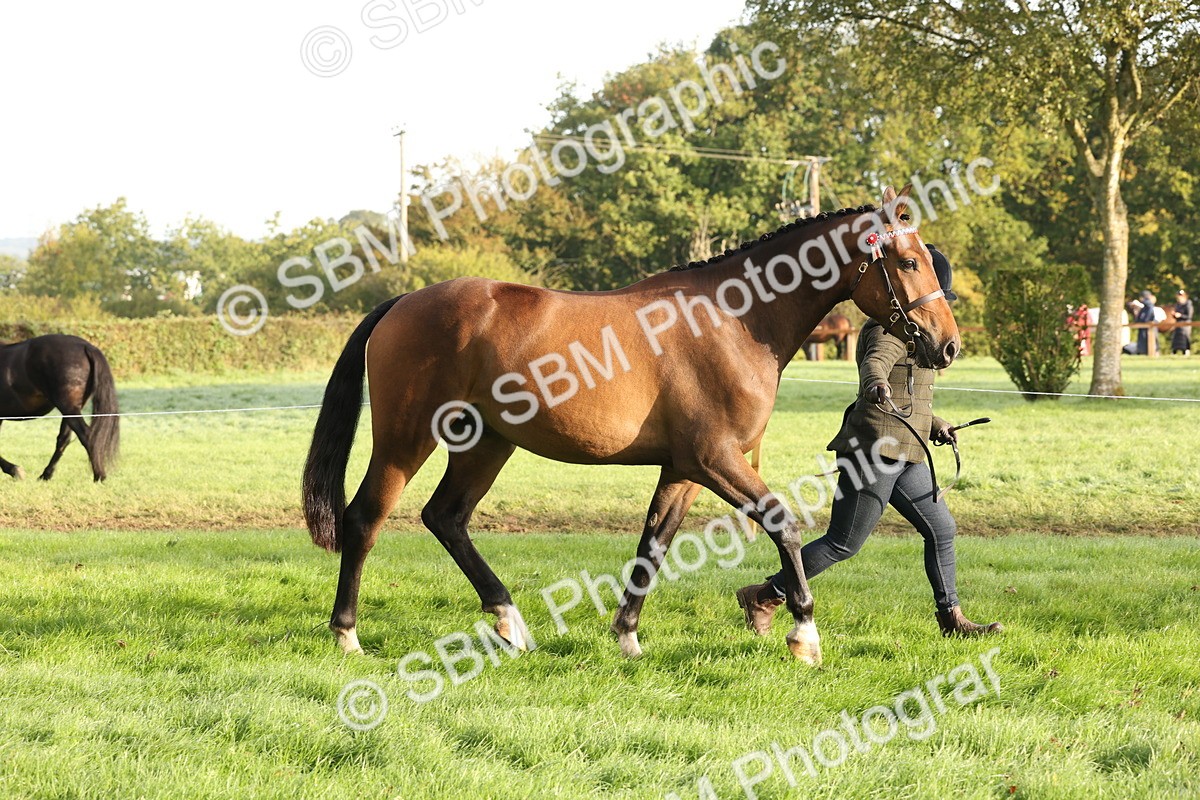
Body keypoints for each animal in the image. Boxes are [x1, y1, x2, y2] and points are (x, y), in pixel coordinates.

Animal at [0, 334, 120, 482]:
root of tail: (86, 346)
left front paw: (15, 470)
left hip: (68, 407)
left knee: (86, 435)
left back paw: (99, 476)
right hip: (70, 410)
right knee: (64, 439)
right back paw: (46, 475)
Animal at [302, 186, 960, 665]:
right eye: (908, 261)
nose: (947, 346)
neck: (734, 319)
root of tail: (403, 302)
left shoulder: (685, 468)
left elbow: (655, 543)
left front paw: (627, 636)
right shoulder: (717, 459)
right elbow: (786, 527)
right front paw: (804, 635)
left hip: (485, 444)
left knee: (446, 518)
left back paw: (511, 623)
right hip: (406, 438)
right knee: (365, 519)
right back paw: (347, 635)